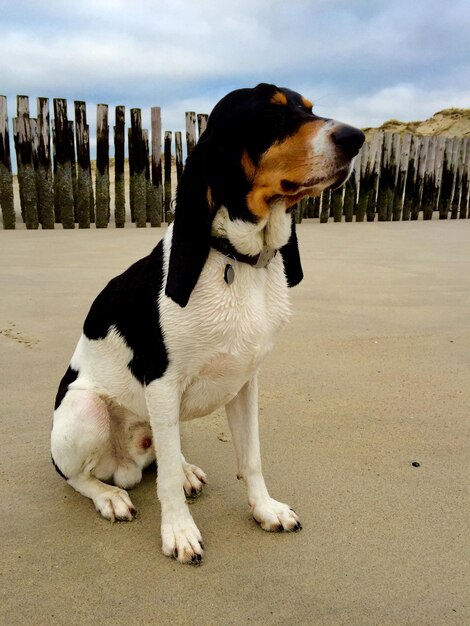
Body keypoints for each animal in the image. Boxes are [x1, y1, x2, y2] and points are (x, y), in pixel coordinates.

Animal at [52, 80, 368, 564]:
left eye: (310, 109)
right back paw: (110, 496)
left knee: (165, 453)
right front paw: (179, 532)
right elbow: (164, 485)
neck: (239, 261)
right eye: (273, 117)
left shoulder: (246, 384)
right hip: (86, 409)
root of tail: (123, 465)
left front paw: (265, 509)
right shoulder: (161, 382)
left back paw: (182, 469)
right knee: (79, 477)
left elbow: (251, 458)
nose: (356, 138)